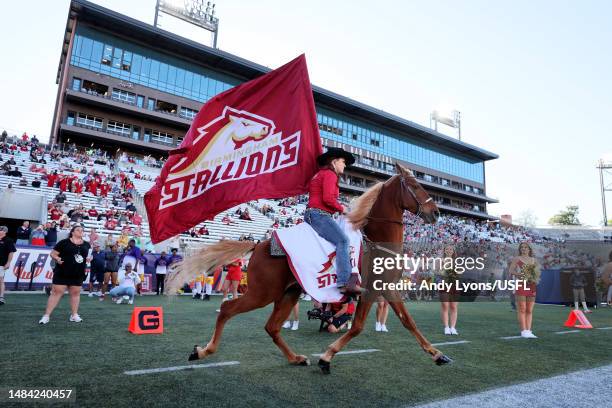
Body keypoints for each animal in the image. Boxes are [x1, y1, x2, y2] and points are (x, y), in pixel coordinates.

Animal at [165, 163, 452, 372]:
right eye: (414, 185)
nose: (436, 213)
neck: (376, 242)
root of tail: (257, 245)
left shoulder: (387, 288)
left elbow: (408, 321)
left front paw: (438, 354)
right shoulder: (369, 291)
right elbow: (357, 326)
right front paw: (327, 357)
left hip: (288, 293)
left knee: (271, 327)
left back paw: (295, 358)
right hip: (262, 293)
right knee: (227, 309)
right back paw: (203, 350)